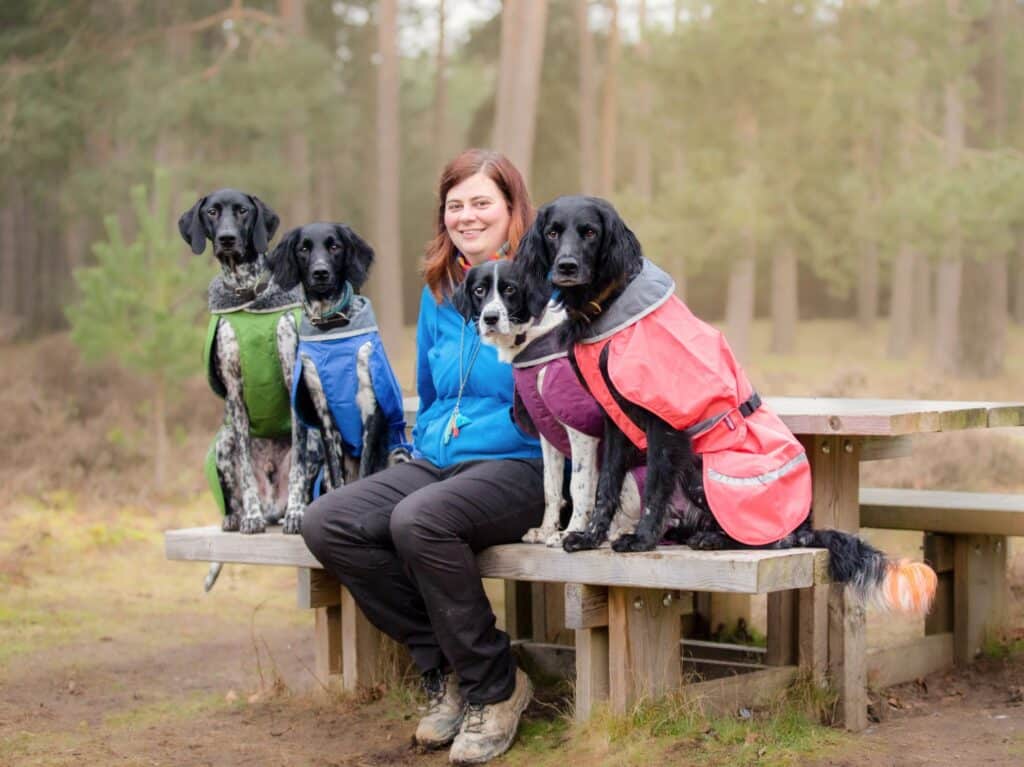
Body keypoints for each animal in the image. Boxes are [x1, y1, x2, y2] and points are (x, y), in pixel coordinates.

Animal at [268, 221, 411, 499]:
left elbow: (366, 469)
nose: (320, 273)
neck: (332, 329)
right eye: (303, 249)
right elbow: (337, 478)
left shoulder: (370, 407)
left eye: (335, 246)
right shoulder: (324, 413)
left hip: (398, 454)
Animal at [452, 260, 643, 548]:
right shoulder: (547, 433)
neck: (532, 339)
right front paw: (545, 530)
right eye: (478, 290)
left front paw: (569, 532)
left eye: (510, 288)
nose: (490, 318)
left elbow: (579, 487)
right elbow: (550, 487)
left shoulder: (581, 432)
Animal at [520, 194, 937, 614]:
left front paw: (640, 540)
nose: (566, 266)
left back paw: (712, 538)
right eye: (553, 232)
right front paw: (589, 537)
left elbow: (652, 489)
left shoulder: (663, 425)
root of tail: (806, 530)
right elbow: (605, 487)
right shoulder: (613, 421)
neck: (610, 307)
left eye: (589, 232)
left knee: (765, 538)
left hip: (705, 471)